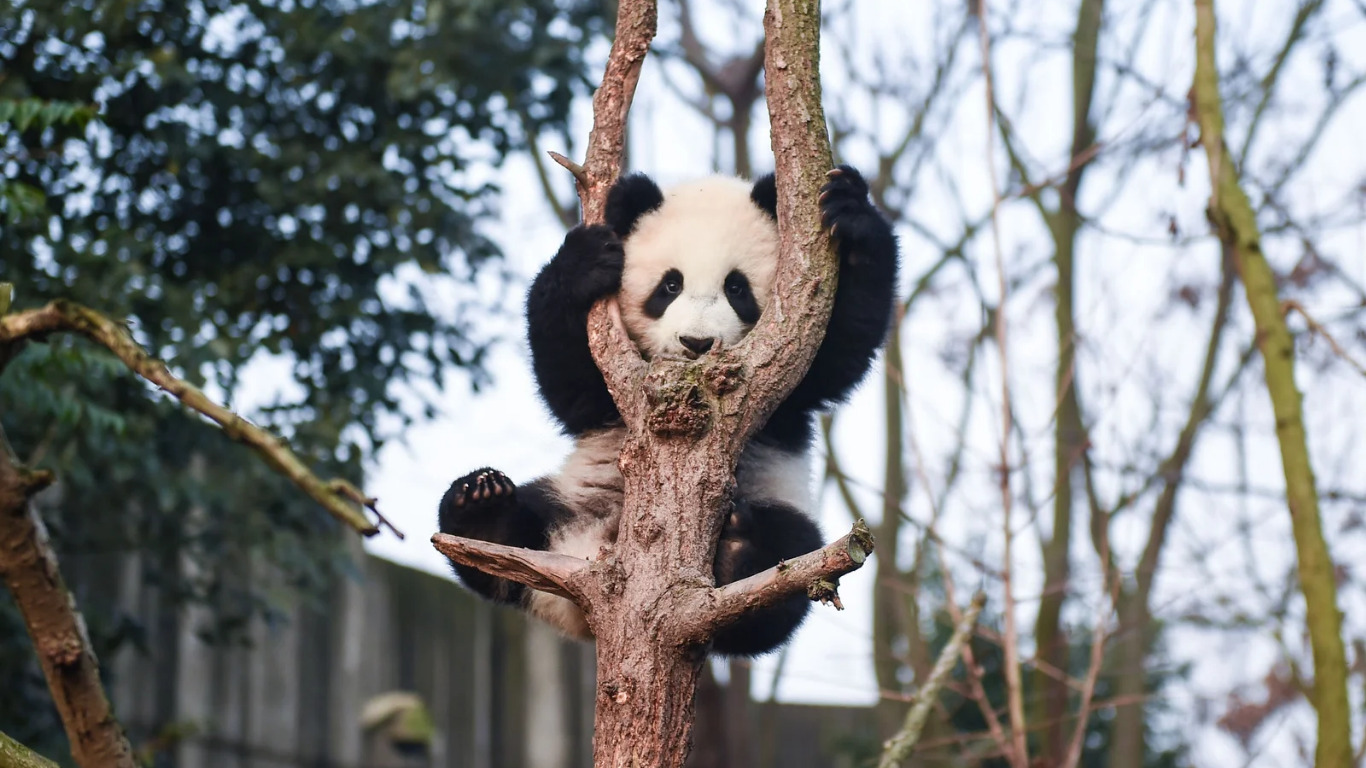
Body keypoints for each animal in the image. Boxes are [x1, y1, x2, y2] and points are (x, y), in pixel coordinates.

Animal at [437, 164, 896, 655]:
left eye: (737, 288)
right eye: (670, 285)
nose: (696, 343)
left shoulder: (791, 384)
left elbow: (841, 350)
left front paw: (849, 210)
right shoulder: (610, 388)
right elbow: (569, 383)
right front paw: (584, 262)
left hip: (779, 507)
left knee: (786, 562)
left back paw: (741, 553)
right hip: (571, 499)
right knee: (502, 530)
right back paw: (483, 506)